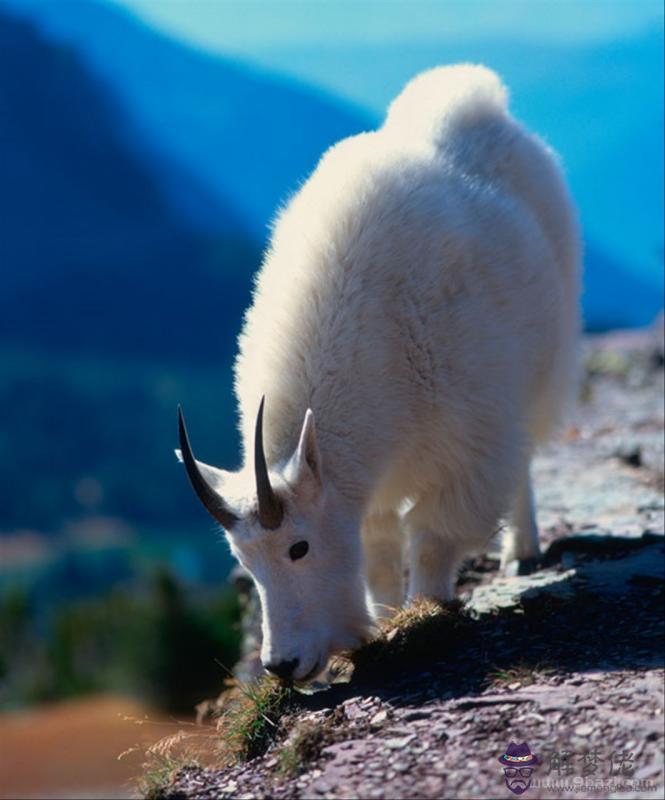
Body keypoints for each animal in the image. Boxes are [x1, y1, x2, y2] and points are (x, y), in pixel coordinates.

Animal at [178, 65, 580, 684]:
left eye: (299, 547)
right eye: (243, 561)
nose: (282, 665)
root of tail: (480, 97)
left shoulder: (467, 448)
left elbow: (432, 539)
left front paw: (427, 614)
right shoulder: (364, 488)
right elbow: (382, 556)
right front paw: (387, 624)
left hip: (541, 376)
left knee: (527, 459)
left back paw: (523, 548)